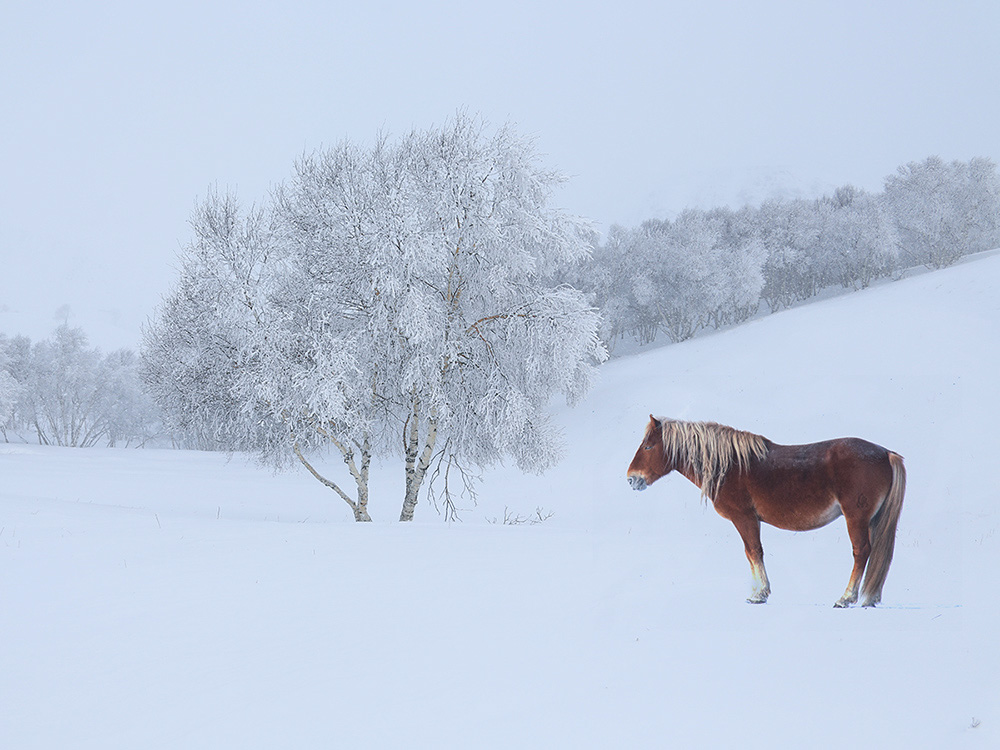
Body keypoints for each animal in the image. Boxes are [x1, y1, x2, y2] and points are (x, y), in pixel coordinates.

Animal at [628, 420, 912, 608]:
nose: (631, 479)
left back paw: (847, 598)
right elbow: (754, 553)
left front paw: (758, 594)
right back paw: (871, 597)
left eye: (649, 446)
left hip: (856, 518)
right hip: (873, 520)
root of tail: (885, 454)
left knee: (861, 552)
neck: (731, 465)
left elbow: (753, 551)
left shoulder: (744, 518)